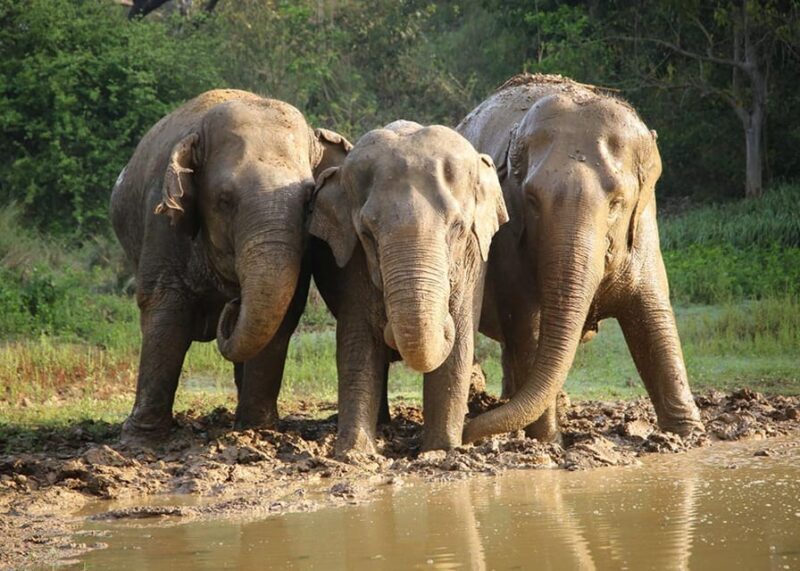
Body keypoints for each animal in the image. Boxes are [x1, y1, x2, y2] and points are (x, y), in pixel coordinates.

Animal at [110, 89, 351, 442]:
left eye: (310, 200)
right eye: (224, 200)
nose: (234, 304)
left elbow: (285, 311)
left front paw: (256, 429)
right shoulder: (162, 224)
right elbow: (164, 309)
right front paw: (140, 438)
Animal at [309, 121, 508, 455]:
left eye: (457, 228)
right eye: (366, 233)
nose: (388, 325)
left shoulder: (475, 260)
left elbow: (459, 345)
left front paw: (441, 450)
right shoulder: (352, 264)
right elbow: (357, 344)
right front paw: (354, 453)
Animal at [456, 74, 704, 444]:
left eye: (617, 202)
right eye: (531, 200)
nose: (467, 434)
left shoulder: (644, 230)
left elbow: (654, 320)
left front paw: (690, 435)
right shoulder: (511, 244)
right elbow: (528, 329)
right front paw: (548, 441)